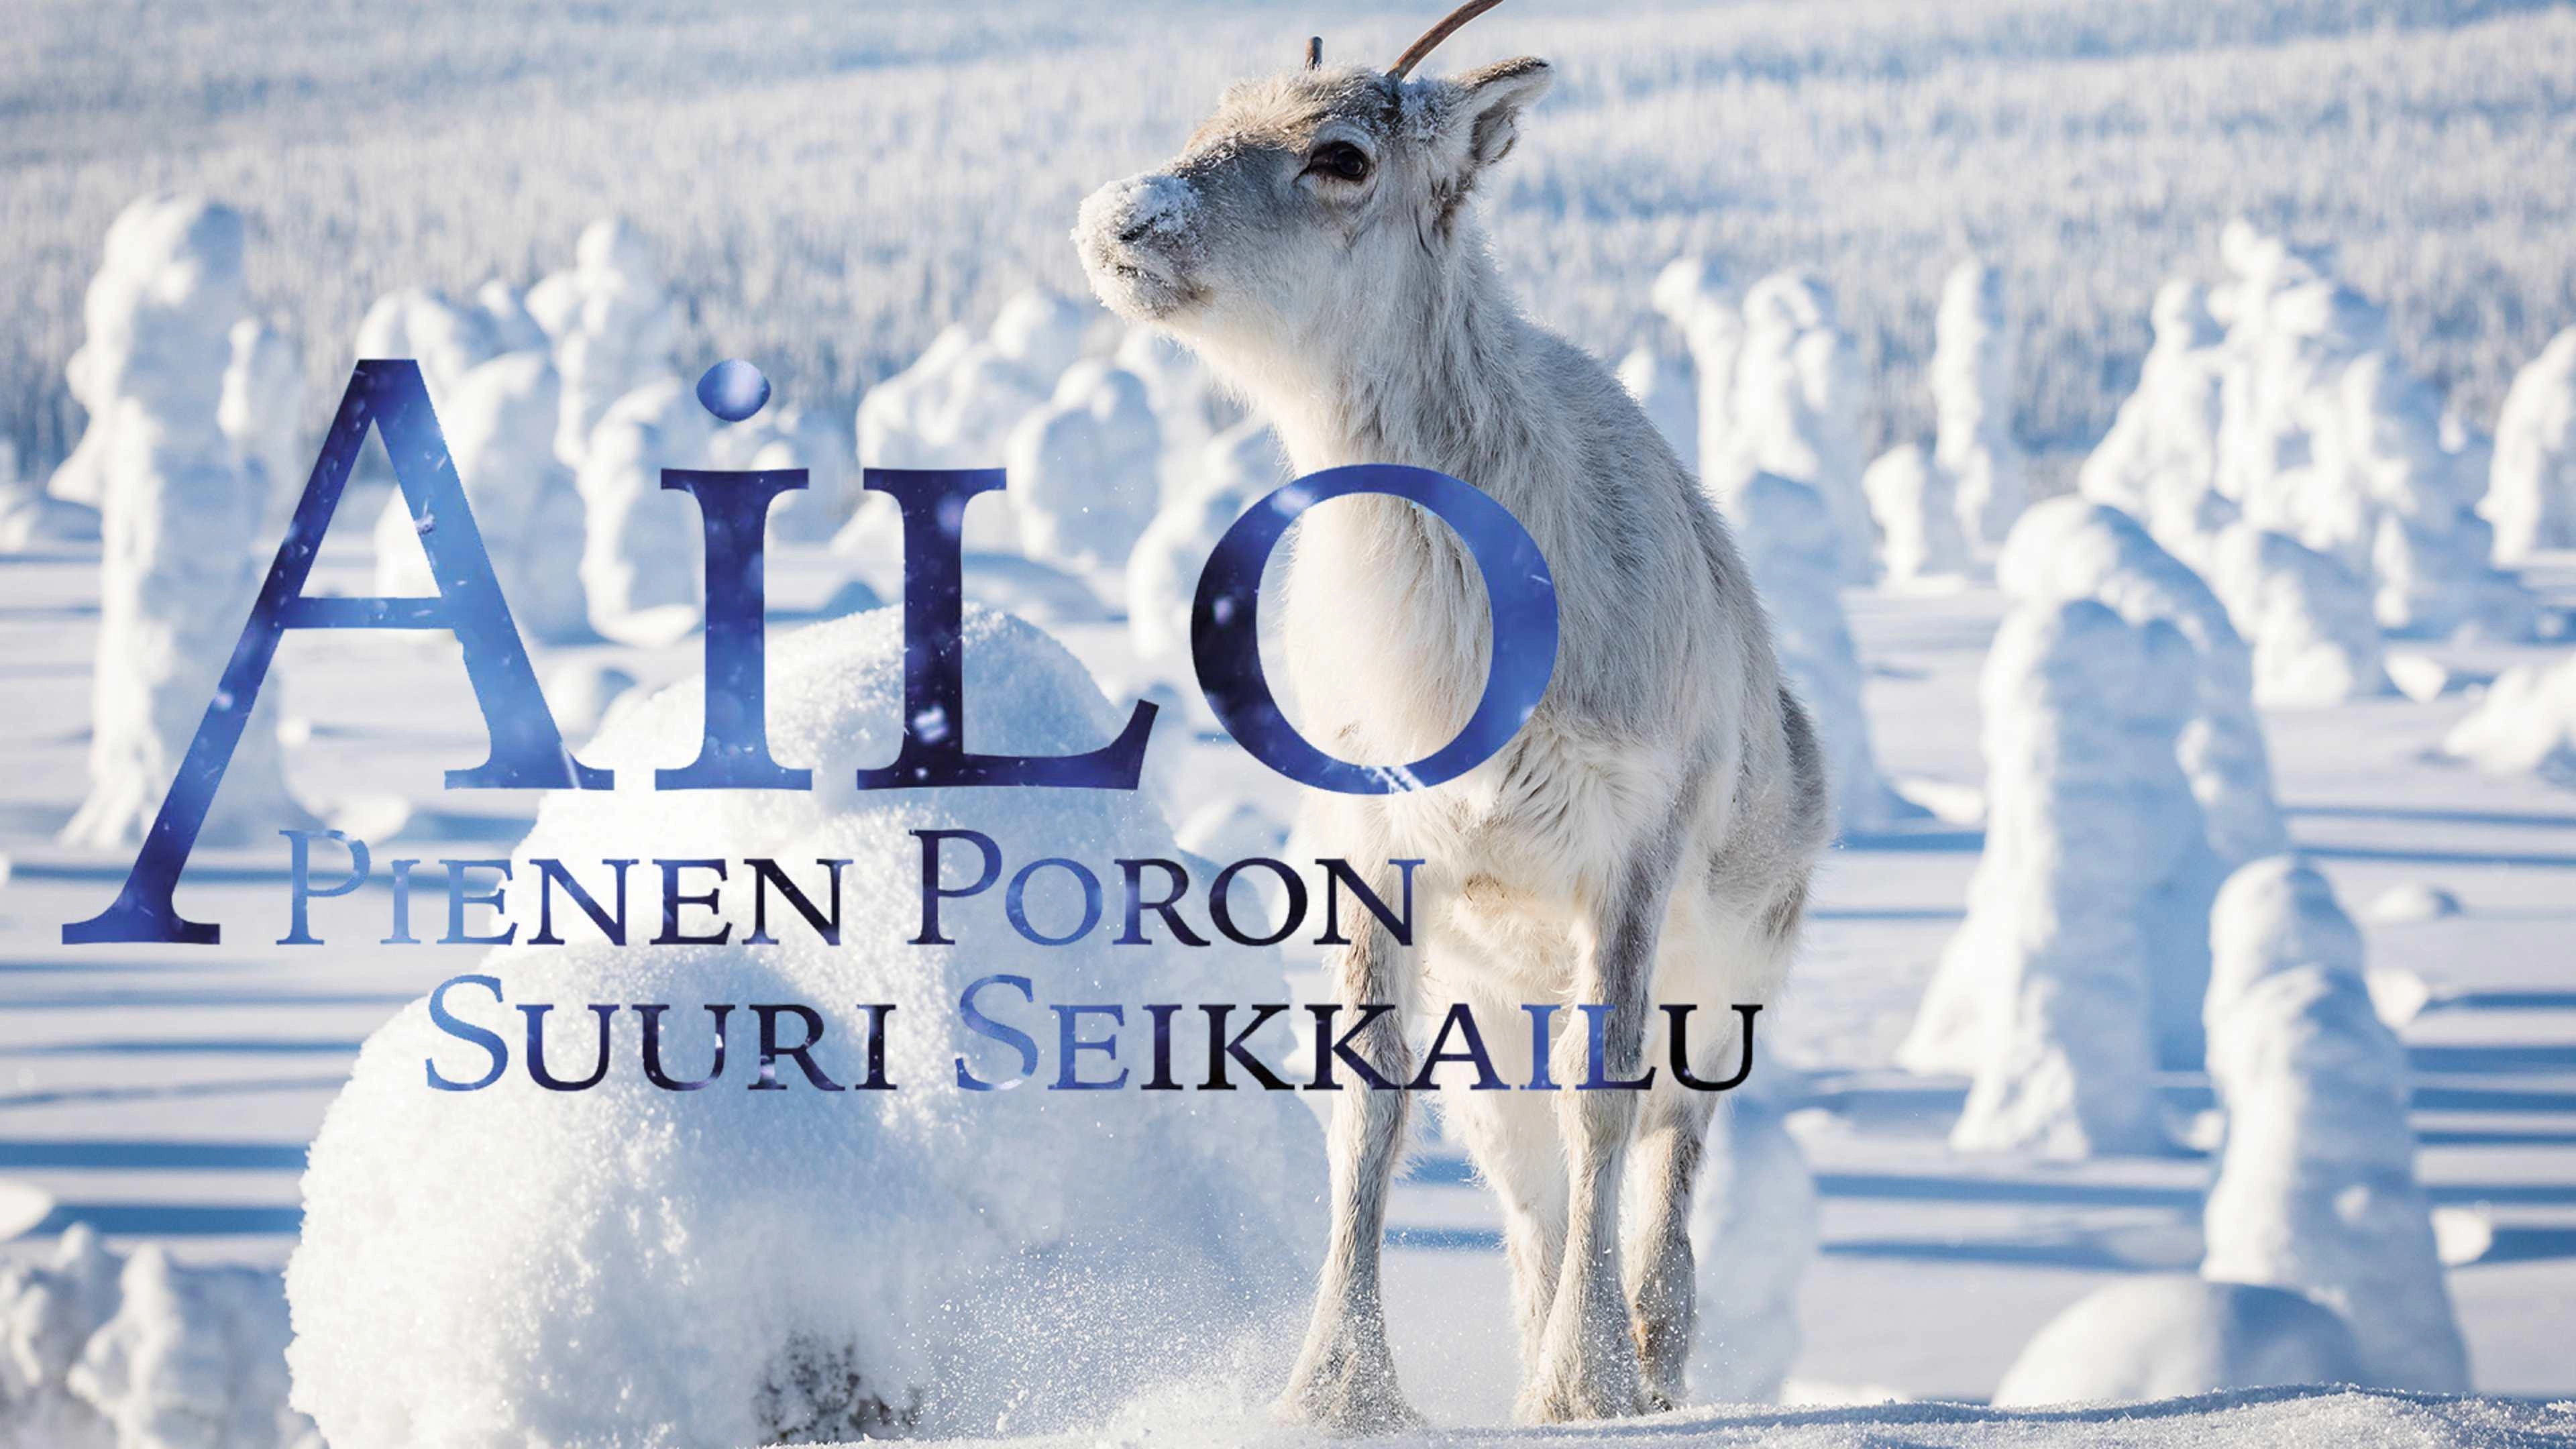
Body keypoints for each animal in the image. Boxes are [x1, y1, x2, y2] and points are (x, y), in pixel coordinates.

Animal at [1074, 0, 1832, 1430]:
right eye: (1212, 117)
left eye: (1343, 155)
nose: (1119, 218)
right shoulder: (1381, 854)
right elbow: (1368, 1110)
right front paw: (1338, 1389)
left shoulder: (1633, 850)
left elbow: (1608, 1101)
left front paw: (1592, 1384)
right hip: (1494, 1037)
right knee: (1529, 1200)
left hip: (1728, 983)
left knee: (1668, 1153)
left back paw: (1653, 1361)